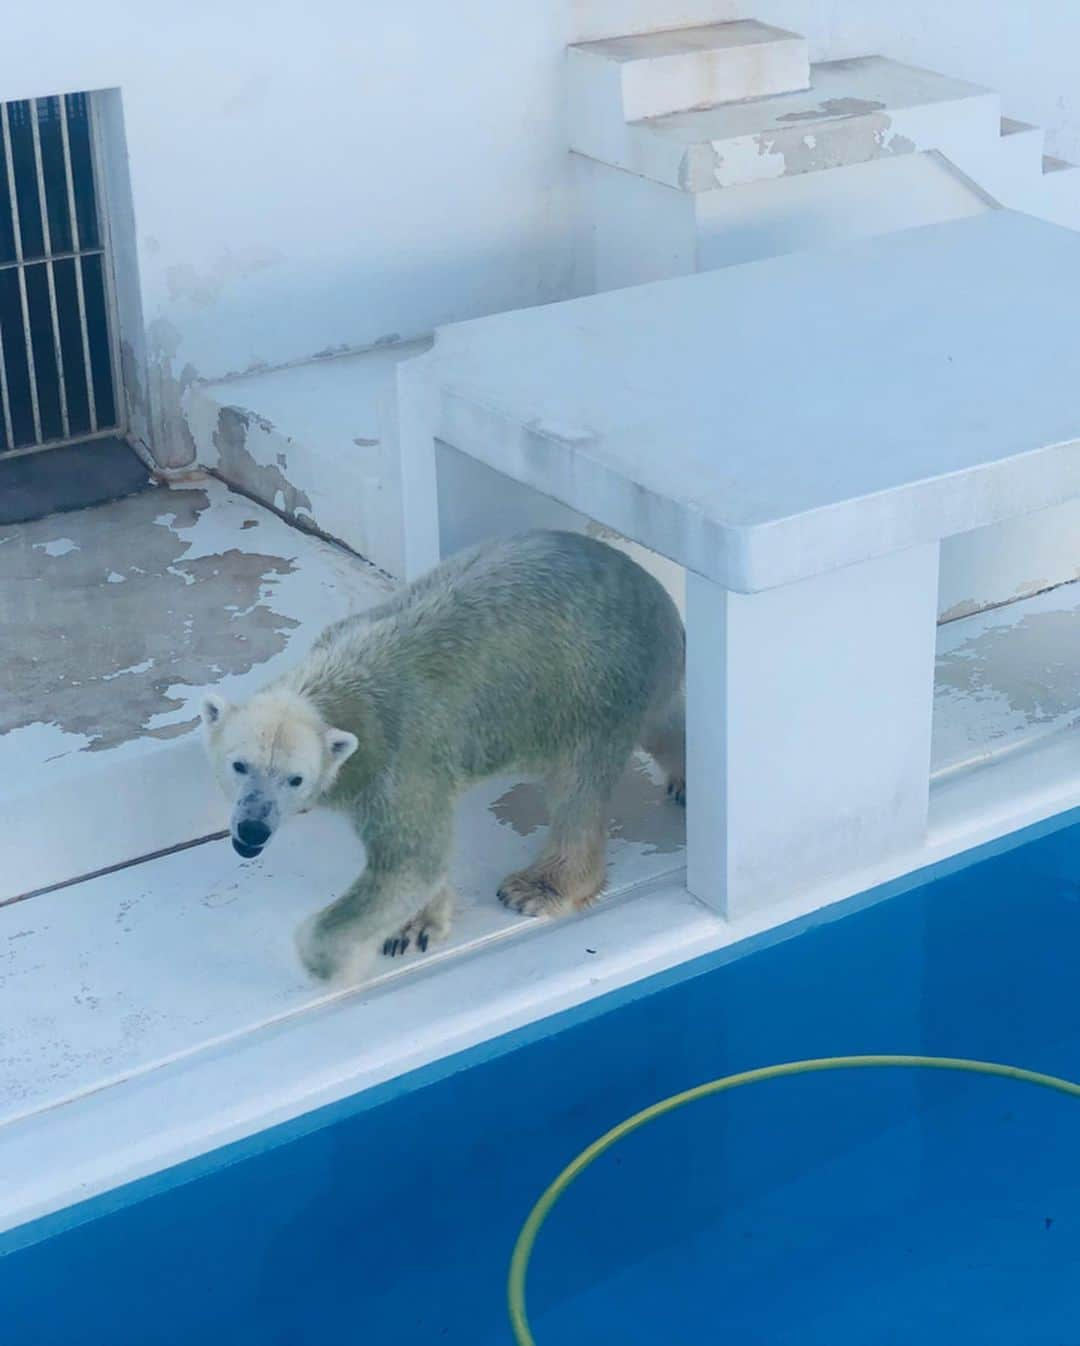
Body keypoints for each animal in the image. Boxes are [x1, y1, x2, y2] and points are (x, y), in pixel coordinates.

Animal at [201, 524, 681, 979]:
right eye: (239, 765)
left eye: (294, 778)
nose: (252, 830)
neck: (336, 684)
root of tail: (652, 587)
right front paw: (413, 926)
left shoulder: (396, 761)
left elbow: (411, 862)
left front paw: (338, 961)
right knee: (660, 725)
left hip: (591, 683)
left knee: (579, 787)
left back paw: (536, 888)